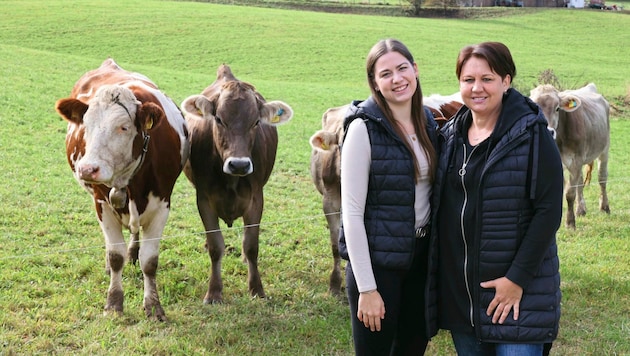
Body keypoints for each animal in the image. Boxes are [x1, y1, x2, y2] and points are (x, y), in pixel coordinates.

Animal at [55, 57, 190, 320]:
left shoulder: (162, 204)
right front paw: (114, 303)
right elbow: (115, 255)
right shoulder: (101, 203)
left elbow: (150, 261)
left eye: (124, 127)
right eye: (85, 125)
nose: (88, 169)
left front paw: (153, 306)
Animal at [180, 63, 294, 304]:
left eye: (256, 122)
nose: (239, 164)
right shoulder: (204, 199)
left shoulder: (256, 199)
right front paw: (214, 292)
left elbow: (251, 246)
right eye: (219, 119)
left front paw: (257, 289)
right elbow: (216, 246)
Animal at [532, 82, 616, 228]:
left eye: (557, 108)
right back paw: (581, 209)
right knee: (580, 183)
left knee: (602, 178)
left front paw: (570, 223)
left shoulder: (575, 161)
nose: (548, 131)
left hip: (604, 149)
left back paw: (604, 207)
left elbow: (569, 193)